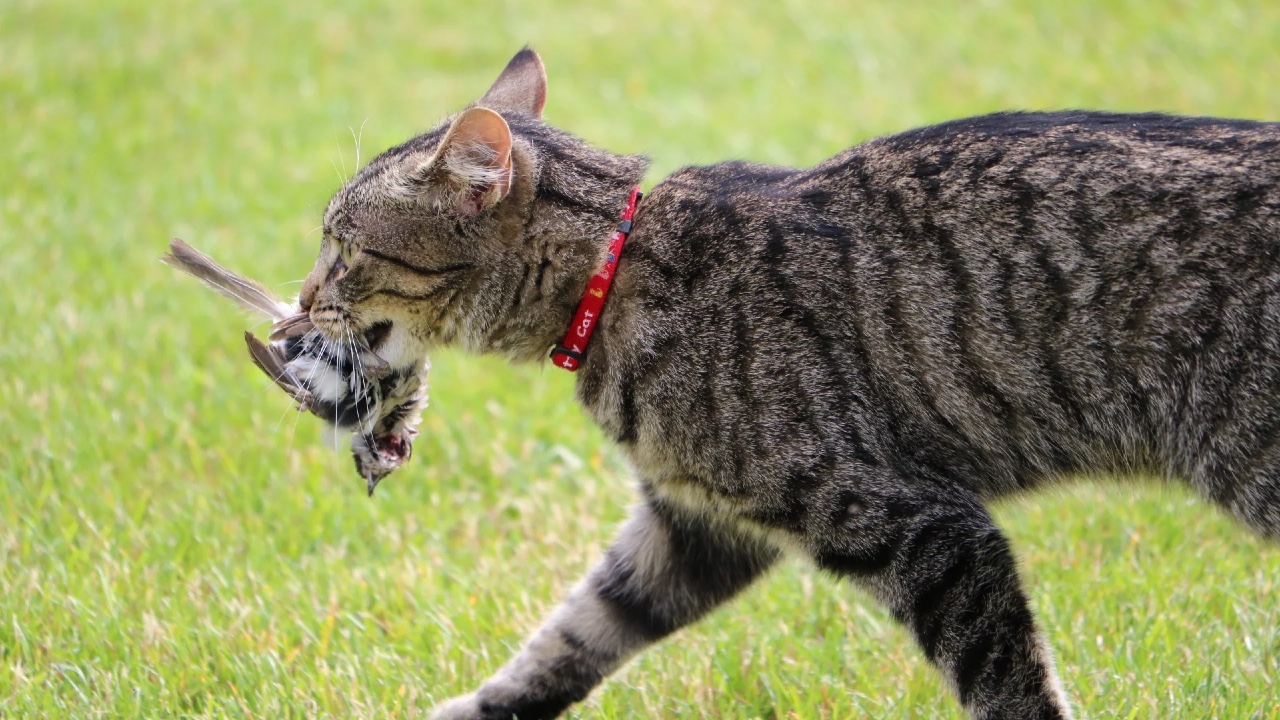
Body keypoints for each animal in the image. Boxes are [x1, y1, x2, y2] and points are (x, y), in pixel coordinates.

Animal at [277, 47, 1280, 712]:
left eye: (342, 249)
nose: (299, 299)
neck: (617, 273)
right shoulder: (692, 529)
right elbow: (573, 636)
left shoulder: (920, 526)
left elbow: (1010, 685)